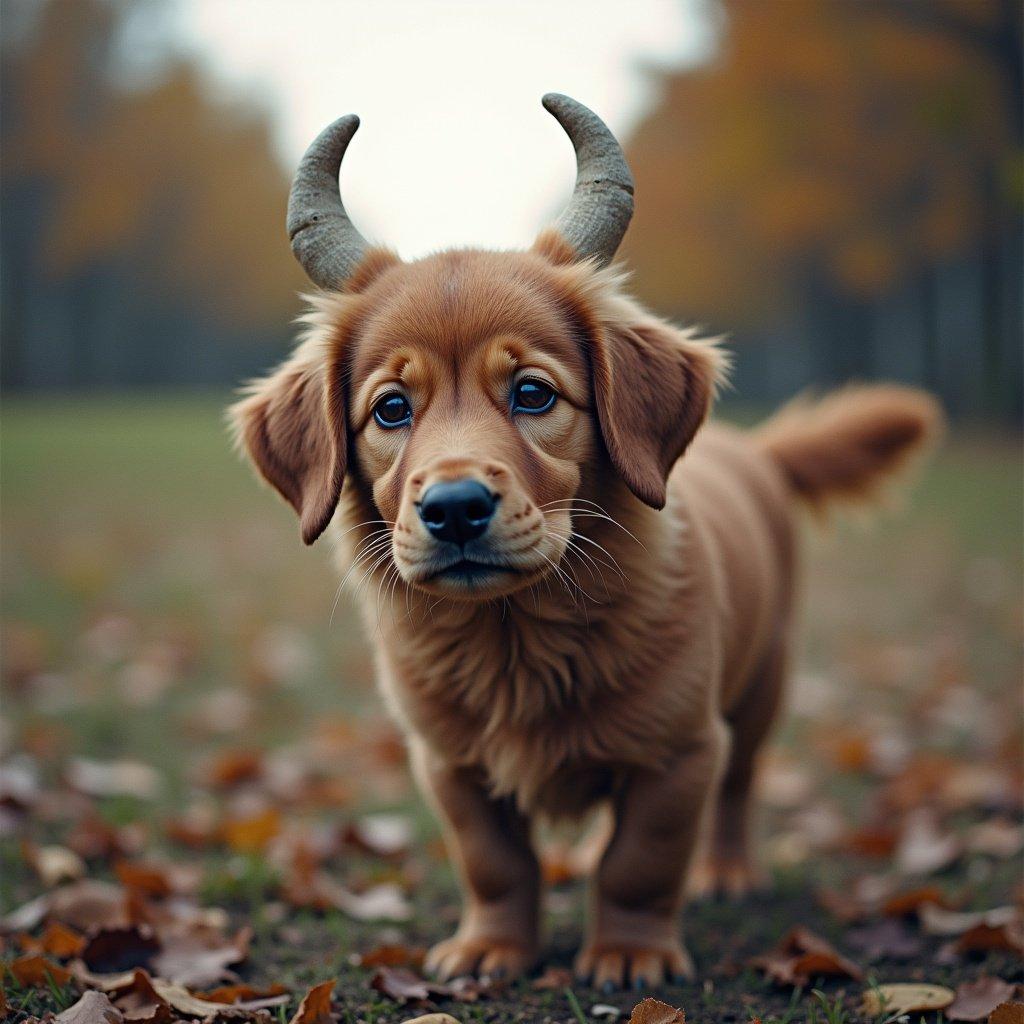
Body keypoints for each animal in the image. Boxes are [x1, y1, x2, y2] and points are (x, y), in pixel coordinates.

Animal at [230, 97, 937, 991]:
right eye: (391, 409)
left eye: (533, 394)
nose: (455, 509)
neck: (515, 640)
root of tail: (754, 448)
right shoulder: (449, 764)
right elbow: (495, 861)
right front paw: (492, 947)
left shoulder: (681, 753)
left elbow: (641, 861)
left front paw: (630, 953)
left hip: (761, 684)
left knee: (739, 789)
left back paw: (727, 871)